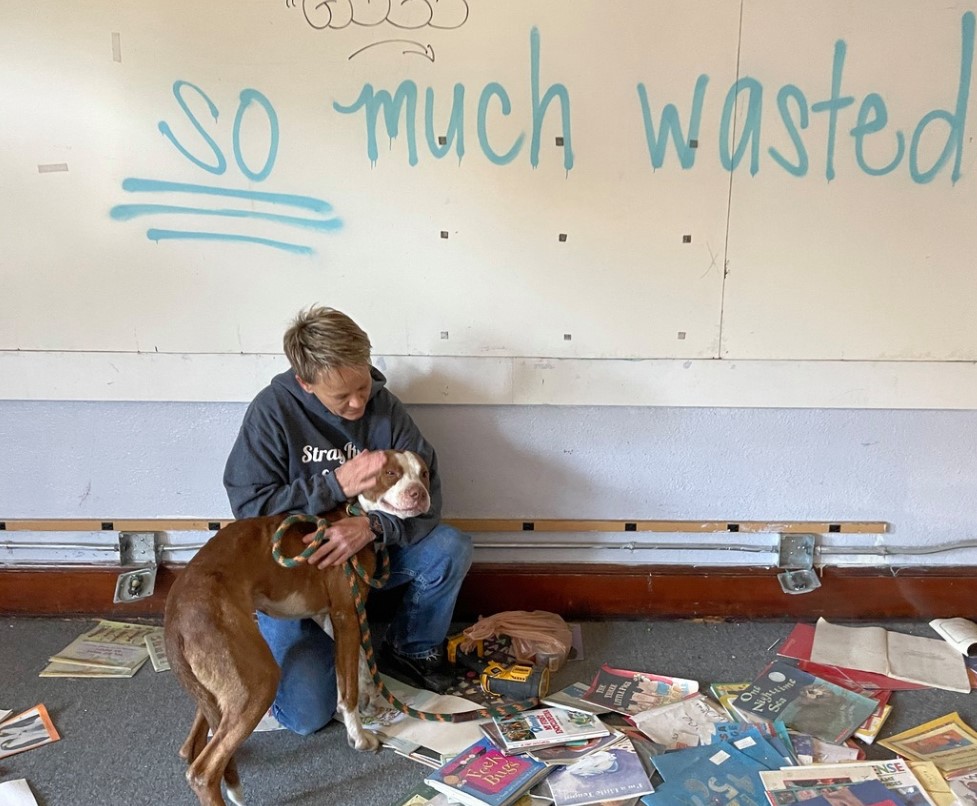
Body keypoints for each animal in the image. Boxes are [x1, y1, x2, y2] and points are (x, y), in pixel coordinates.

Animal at [163, 452, 428, 804]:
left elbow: (360, 663)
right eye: (390, 473)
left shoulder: (332, 616)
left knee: (192, 745)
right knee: (203, 771)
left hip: (218, 686)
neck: (352, 512)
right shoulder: (345, 614)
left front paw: (371, 696)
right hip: (257, 681)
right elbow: (347, 690)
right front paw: (358, 736)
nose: (420, 494)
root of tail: (174, 616)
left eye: (424, 474)